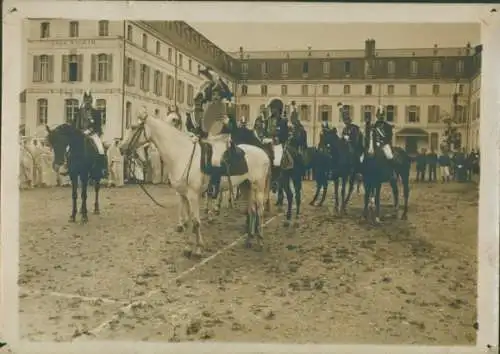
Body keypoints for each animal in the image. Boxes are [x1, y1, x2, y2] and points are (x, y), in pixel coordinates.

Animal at [119, 108, 272, 258]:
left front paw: (198, 249)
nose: (121, 148)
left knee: (259, 211)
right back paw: (249, 239)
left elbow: (196, 222)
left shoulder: (193, 195)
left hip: (258, 187)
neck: (182, 154)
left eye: (133, 127)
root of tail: (263, 153)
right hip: (246, 186)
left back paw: (260, 241)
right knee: (252, 211)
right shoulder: (183, 195)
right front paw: (188, 248)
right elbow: (188, 221)